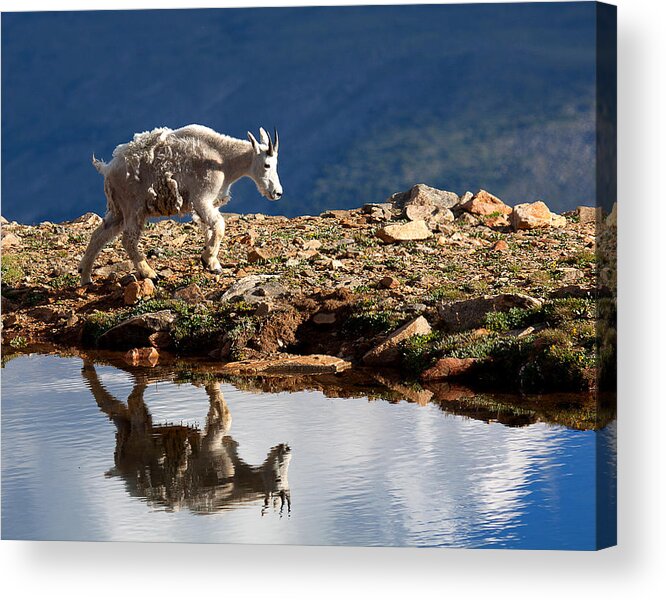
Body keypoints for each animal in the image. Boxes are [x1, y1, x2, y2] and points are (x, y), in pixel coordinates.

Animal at [78, 123, 280, 284]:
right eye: (267, 165)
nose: (277, 193)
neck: (223, 160)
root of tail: (107, 169)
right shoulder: (202, 198)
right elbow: (219, 226)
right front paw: (209, 259)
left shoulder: (209, 203)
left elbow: (209, 229)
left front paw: (211, 263)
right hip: (132, 207)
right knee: (128, 239)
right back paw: (149, 273)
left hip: (119, 210)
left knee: (99, 235)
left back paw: (85, 277)